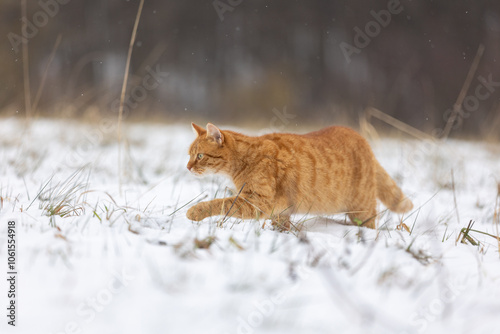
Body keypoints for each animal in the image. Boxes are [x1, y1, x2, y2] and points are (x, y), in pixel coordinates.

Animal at [186, 122, 412, 230]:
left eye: (199, 156)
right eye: (189, 155)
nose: (188, 167)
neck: (245, 158)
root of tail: (362, 139)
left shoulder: (257, 202)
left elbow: (221, 203)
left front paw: (195, 211)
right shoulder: (278, 210)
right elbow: (281, 226)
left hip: (361, 210)